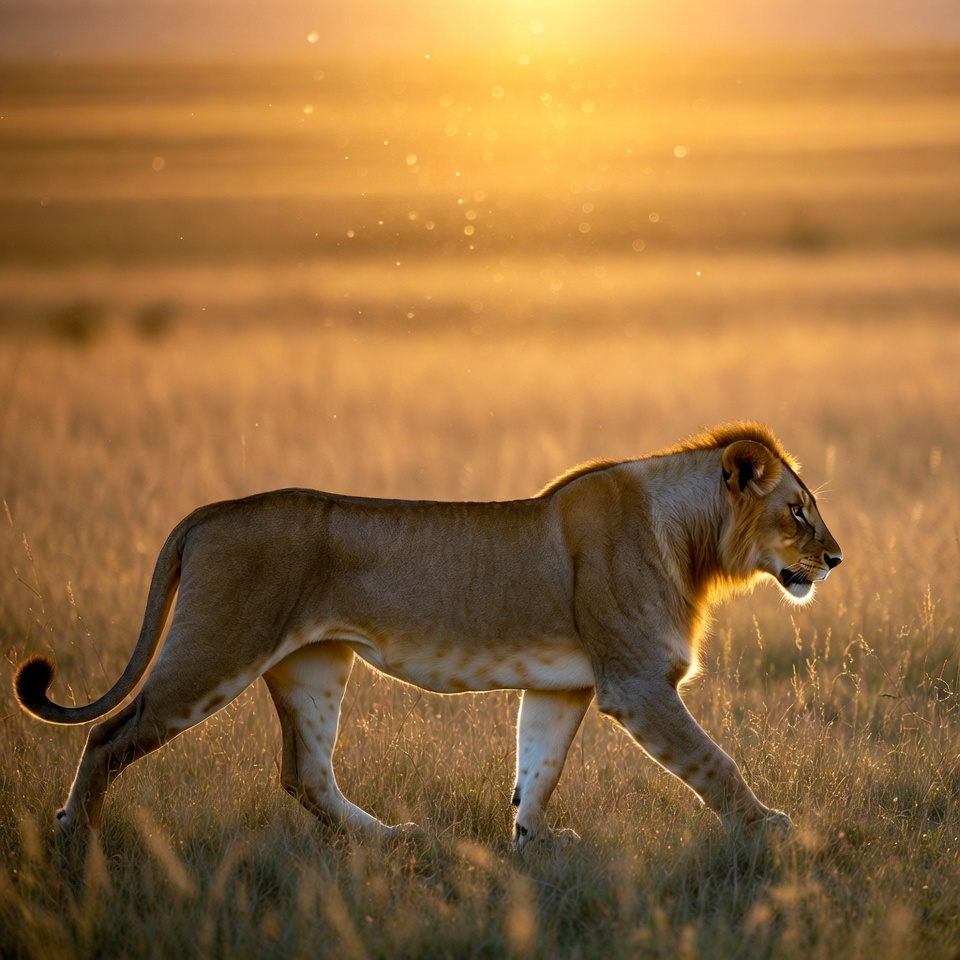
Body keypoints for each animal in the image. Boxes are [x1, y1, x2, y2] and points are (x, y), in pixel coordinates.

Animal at [14, 422, 841, 847]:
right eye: (798, 509)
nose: (835, 559)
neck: (693, 543)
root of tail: (206, 513)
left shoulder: (567, 686)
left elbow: (537, 770)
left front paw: (536, 845)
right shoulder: (636, 685)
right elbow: (713, 762)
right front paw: (769, 827)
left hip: (314, 666)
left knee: (306, 774)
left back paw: (393, 839)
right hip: (214, 652)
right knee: (109, 735)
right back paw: (72, 838)